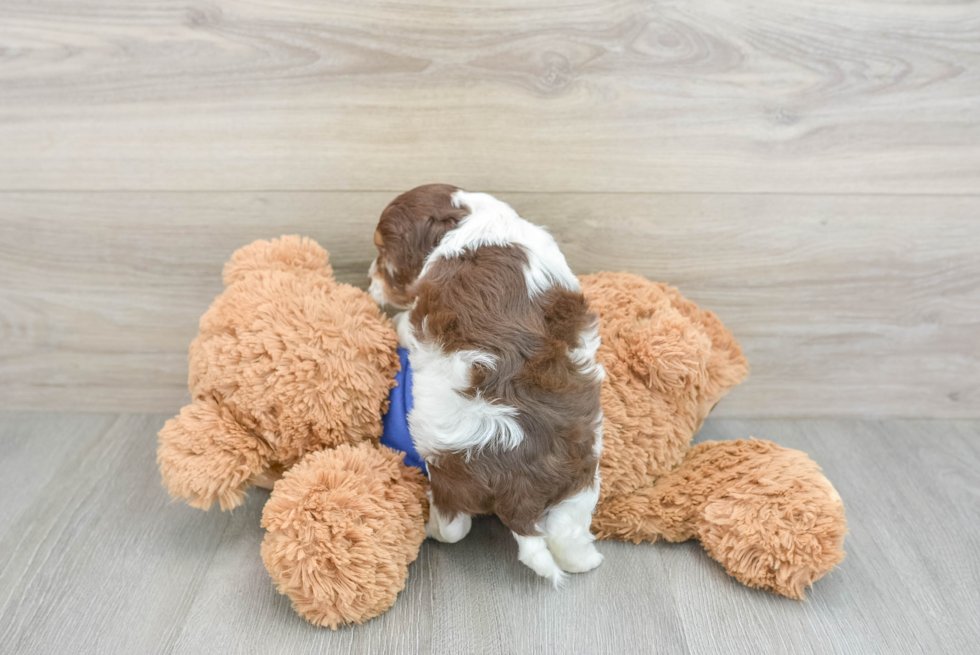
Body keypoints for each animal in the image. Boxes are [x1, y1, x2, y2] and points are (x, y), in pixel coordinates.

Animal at [370, 183, 604, 584]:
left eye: (382, 254)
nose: (368, 281)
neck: (468, 218)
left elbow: (407, 323)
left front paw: (394, 322)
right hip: (579, 478)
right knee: (568, 533)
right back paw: (586, 560)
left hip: (447, 472)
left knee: (453, 528)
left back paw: (429, 523)